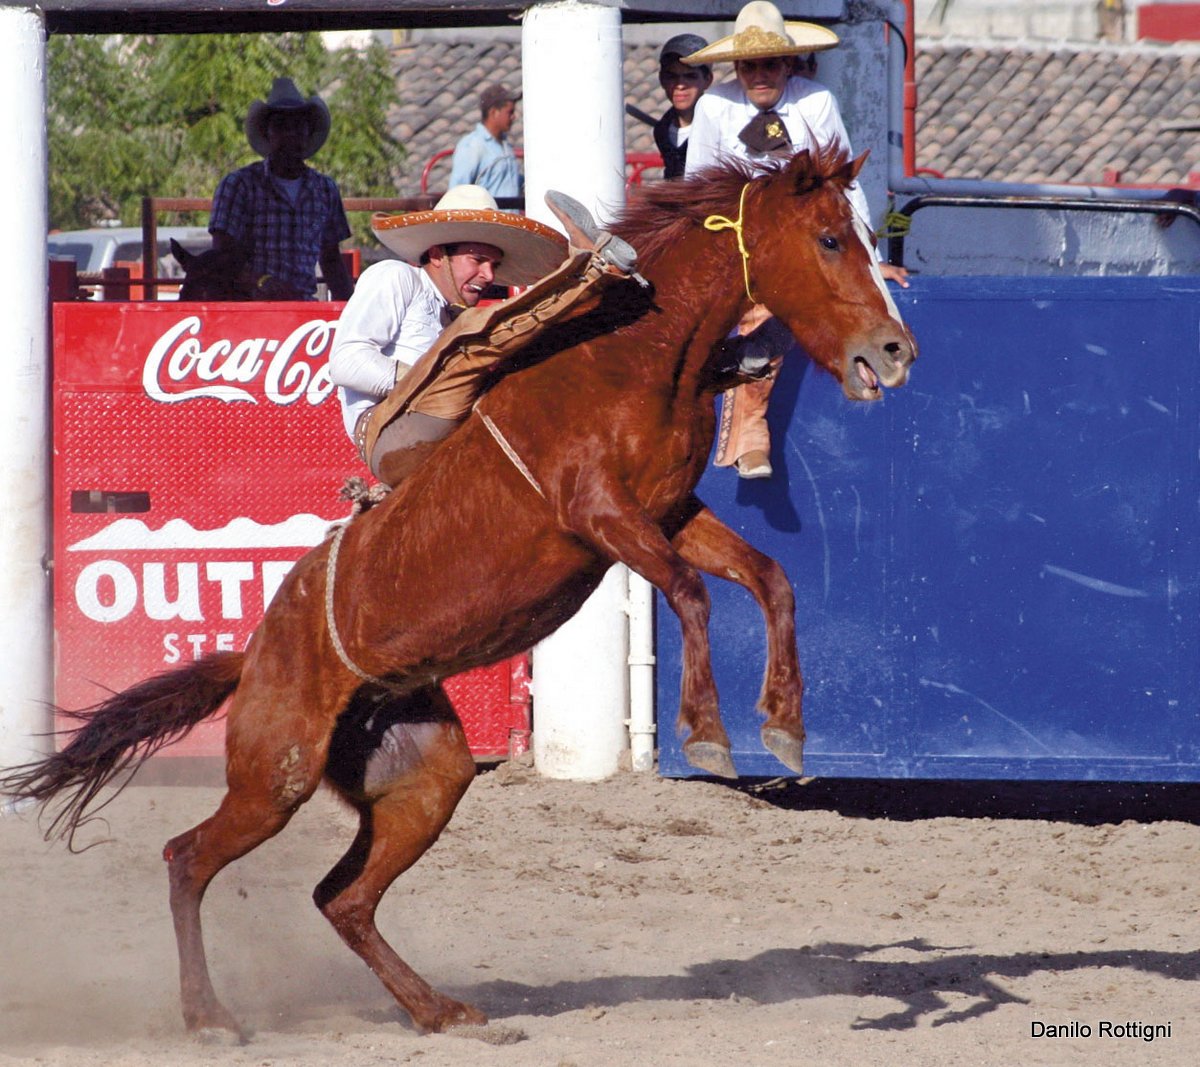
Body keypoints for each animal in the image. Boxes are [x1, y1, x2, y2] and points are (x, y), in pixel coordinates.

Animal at [0, 145, 912, 1036]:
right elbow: (691, 594)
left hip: (426, 776)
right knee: (188, 856)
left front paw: (784, 727)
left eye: (868, 235)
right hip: (274, 774)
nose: (896, 350)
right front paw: (709, 733)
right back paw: (211, 1016)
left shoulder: (671, 514)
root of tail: (254, 652)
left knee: (342, 897)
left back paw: (441, 1010)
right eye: (831, 238)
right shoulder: (601, 514)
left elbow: (770, 581)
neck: (635, 360)